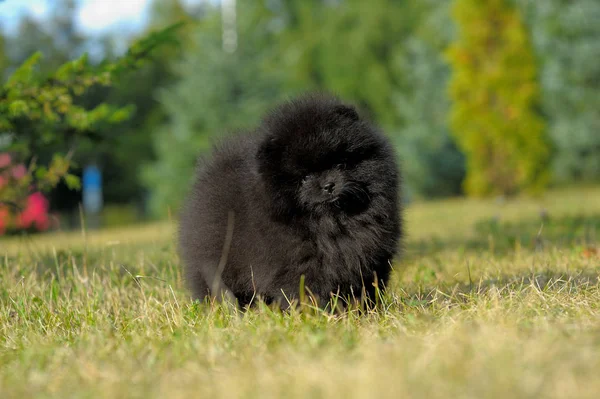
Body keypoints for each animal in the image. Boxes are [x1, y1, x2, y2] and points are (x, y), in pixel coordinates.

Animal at [178, 93, 404, 310]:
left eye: (341, 164)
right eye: (304, 177)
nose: (328, 185)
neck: (331, 225)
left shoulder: (372, 259)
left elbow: (368, 286)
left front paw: (365, 311)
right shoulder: (299, 265)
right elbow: (307, 291)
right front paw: (318, 314)